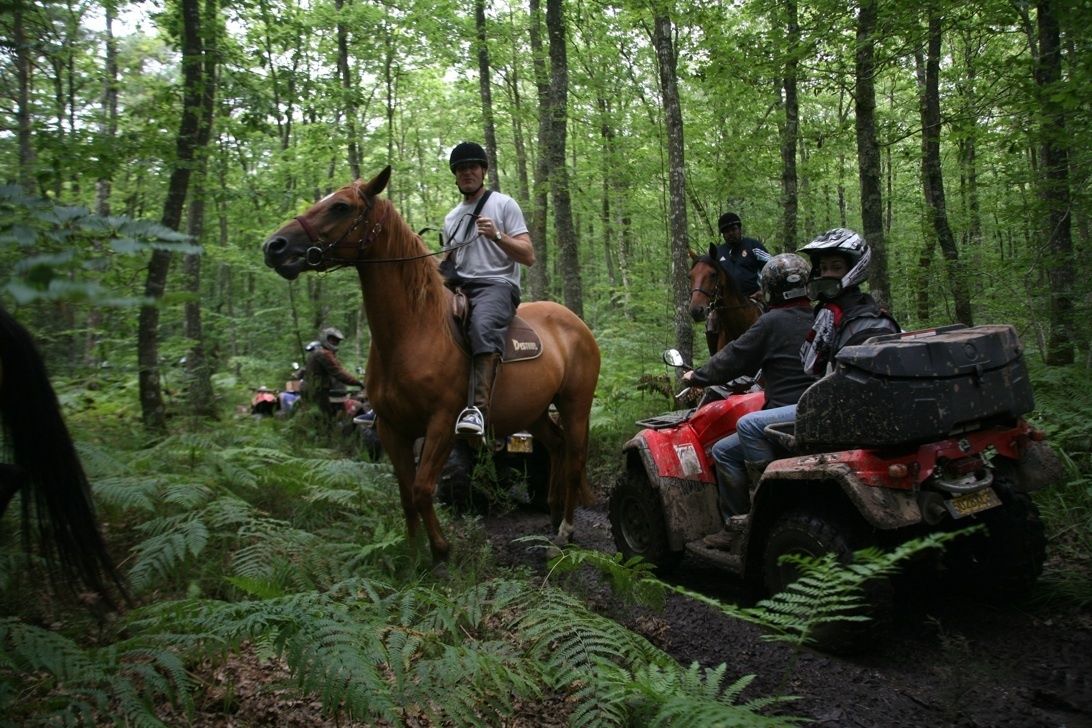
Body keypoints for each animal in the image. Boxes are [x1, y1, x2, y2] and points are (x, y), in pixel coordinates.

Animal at [262, 166, 601, 564]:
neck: (413, 331)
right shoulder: (392, 429)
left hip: (575, 404)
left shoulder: (441, 424)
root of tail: (576, 323)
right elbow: (406, 494)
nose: (274, 246)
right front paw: (412, 556)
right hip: (533, 411)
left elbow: (424, 488)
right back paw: (553, 517)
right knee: (558, 447)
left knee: (575, 457)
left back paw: (565, 531)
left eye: (340, 206)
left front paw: (441, 550)